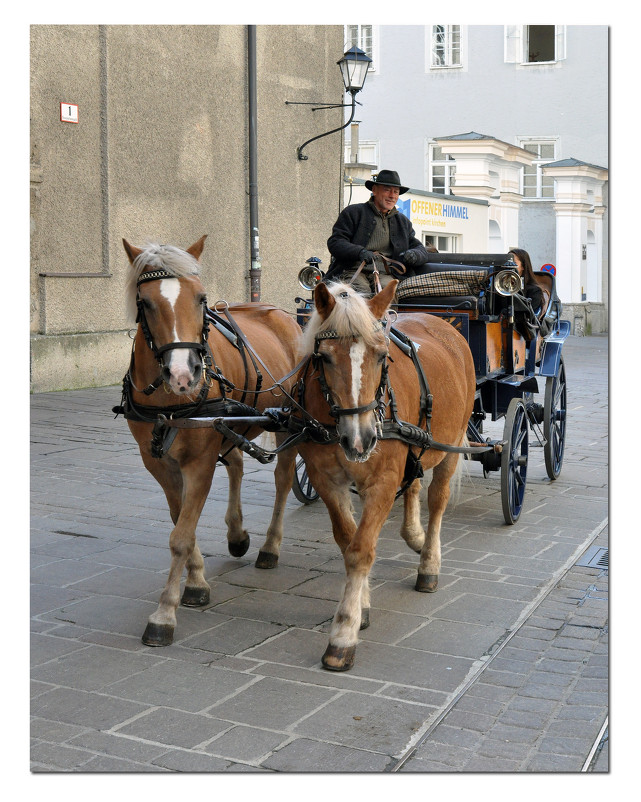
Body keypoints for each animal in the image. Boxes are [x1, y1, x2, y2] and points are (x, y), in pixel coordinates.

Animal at [120, 236, 300, 644]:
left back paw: (270, 546)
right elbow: (179, 521)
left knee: (283, 479)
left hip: (289, 422)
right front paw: (196, 580)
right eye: (145, 302)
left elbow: (181, 535)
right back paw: (237, 533)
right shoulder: (157, 462)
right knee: (235, 463)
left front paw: (164, 615)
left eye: (201, 298)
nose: (183, 375)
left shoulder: (198, 462)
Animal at [296, 278, 476, 664]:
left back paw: (429, 562)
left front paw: (343, 633)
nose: (360, 438)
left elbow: (361, 549)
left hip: (450, 445)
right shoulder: (326, 481)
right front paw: (361, 605)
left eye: (381, 356)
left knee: (437, 500)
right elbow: (347, 540)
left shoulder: (381, 482)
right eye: (324, 357)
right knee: (414, 485)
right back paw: (415, 536)